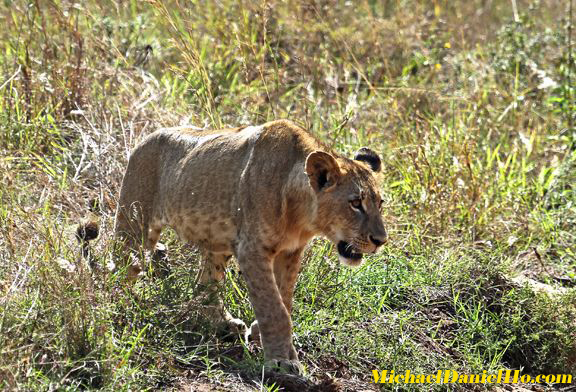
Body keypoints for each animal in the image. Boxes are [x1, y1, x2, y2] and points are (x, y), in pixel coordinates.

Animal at [112, 118, 388, 374]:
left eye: (380, 203)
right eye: (355, 203)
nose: (381, 241)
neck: (301, 217)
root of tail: (145, 138)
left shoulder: (291, 252)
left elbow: (285, 300)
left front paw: (265, 337)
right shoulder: (252, 250)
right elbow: (275, 310)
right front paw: (282, 361)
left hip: (218, 244)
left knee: (206, 283)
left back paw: (226, 325)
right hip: (134, 225)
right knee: (120, 269)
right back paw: (119, 308)